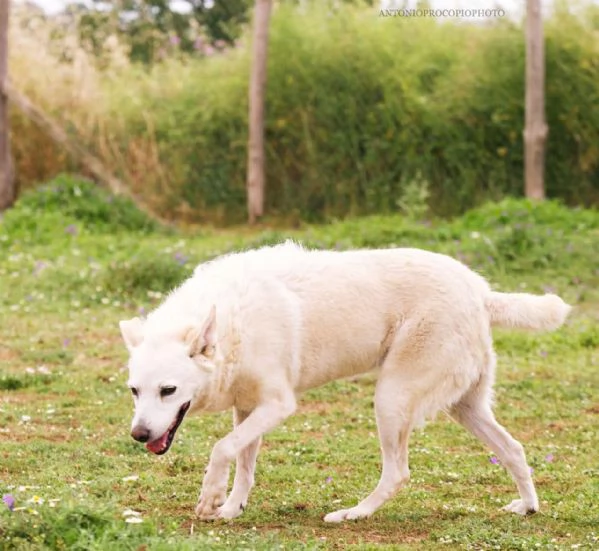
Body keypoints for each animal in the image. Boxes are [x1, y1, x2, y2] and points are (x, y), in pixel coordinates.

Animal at [118, 244, 572, 524]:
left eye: (168, 391)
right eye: (134, 391)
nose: (138, 435)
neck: (233, 324)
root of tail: (480, 291)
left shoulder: (278, 405)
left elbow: (221, 448)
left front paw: (211, 498)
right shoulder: (247, 408)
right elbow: (243, 464)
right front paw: (231, 508)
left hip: (391, 399)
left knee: (398, 473)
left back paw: (353, 514)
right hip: (465, 407)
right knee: (513, 449)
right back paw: (528, 507)